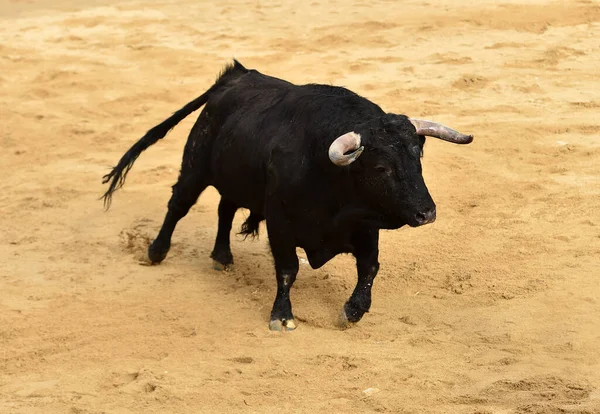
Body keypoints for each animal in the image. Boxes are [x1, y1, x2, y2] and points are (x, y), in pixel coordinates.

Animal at [102, 59, 474, 332]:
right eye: (381, 167)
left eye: (417, 157)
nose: (427, 213)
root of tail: (236, 77)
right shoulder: (280, 224)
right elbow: (287, 269)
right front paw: (282, 316)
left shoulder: (365, 224)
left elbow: (369, 267)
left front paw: (353, 311)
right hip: (195, 166)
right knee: (178, 205)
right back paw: (156, 251)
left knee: (225, 208)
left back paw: (222, 256)